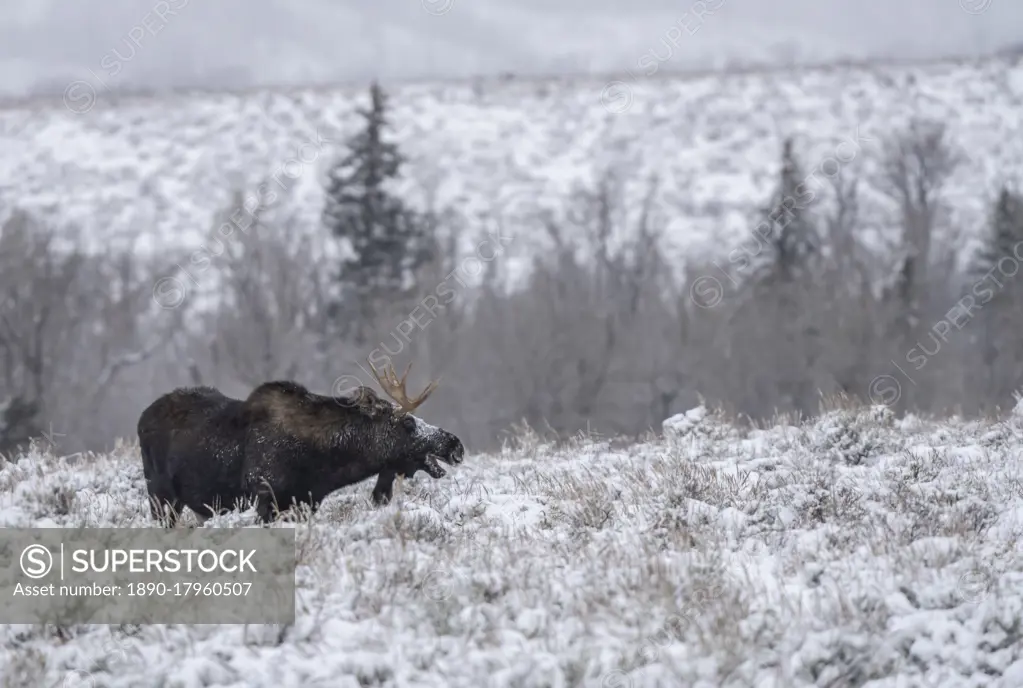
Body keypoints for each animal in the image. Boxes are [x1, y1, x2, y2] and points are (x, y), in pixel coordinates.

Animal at [136, 359, 464, 527]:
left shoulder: (306, 502)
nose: (455, 444)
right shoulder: (264, 498)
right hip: (161, 497)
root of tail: (141, 418)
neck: (324, 466)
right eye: (408, 423)